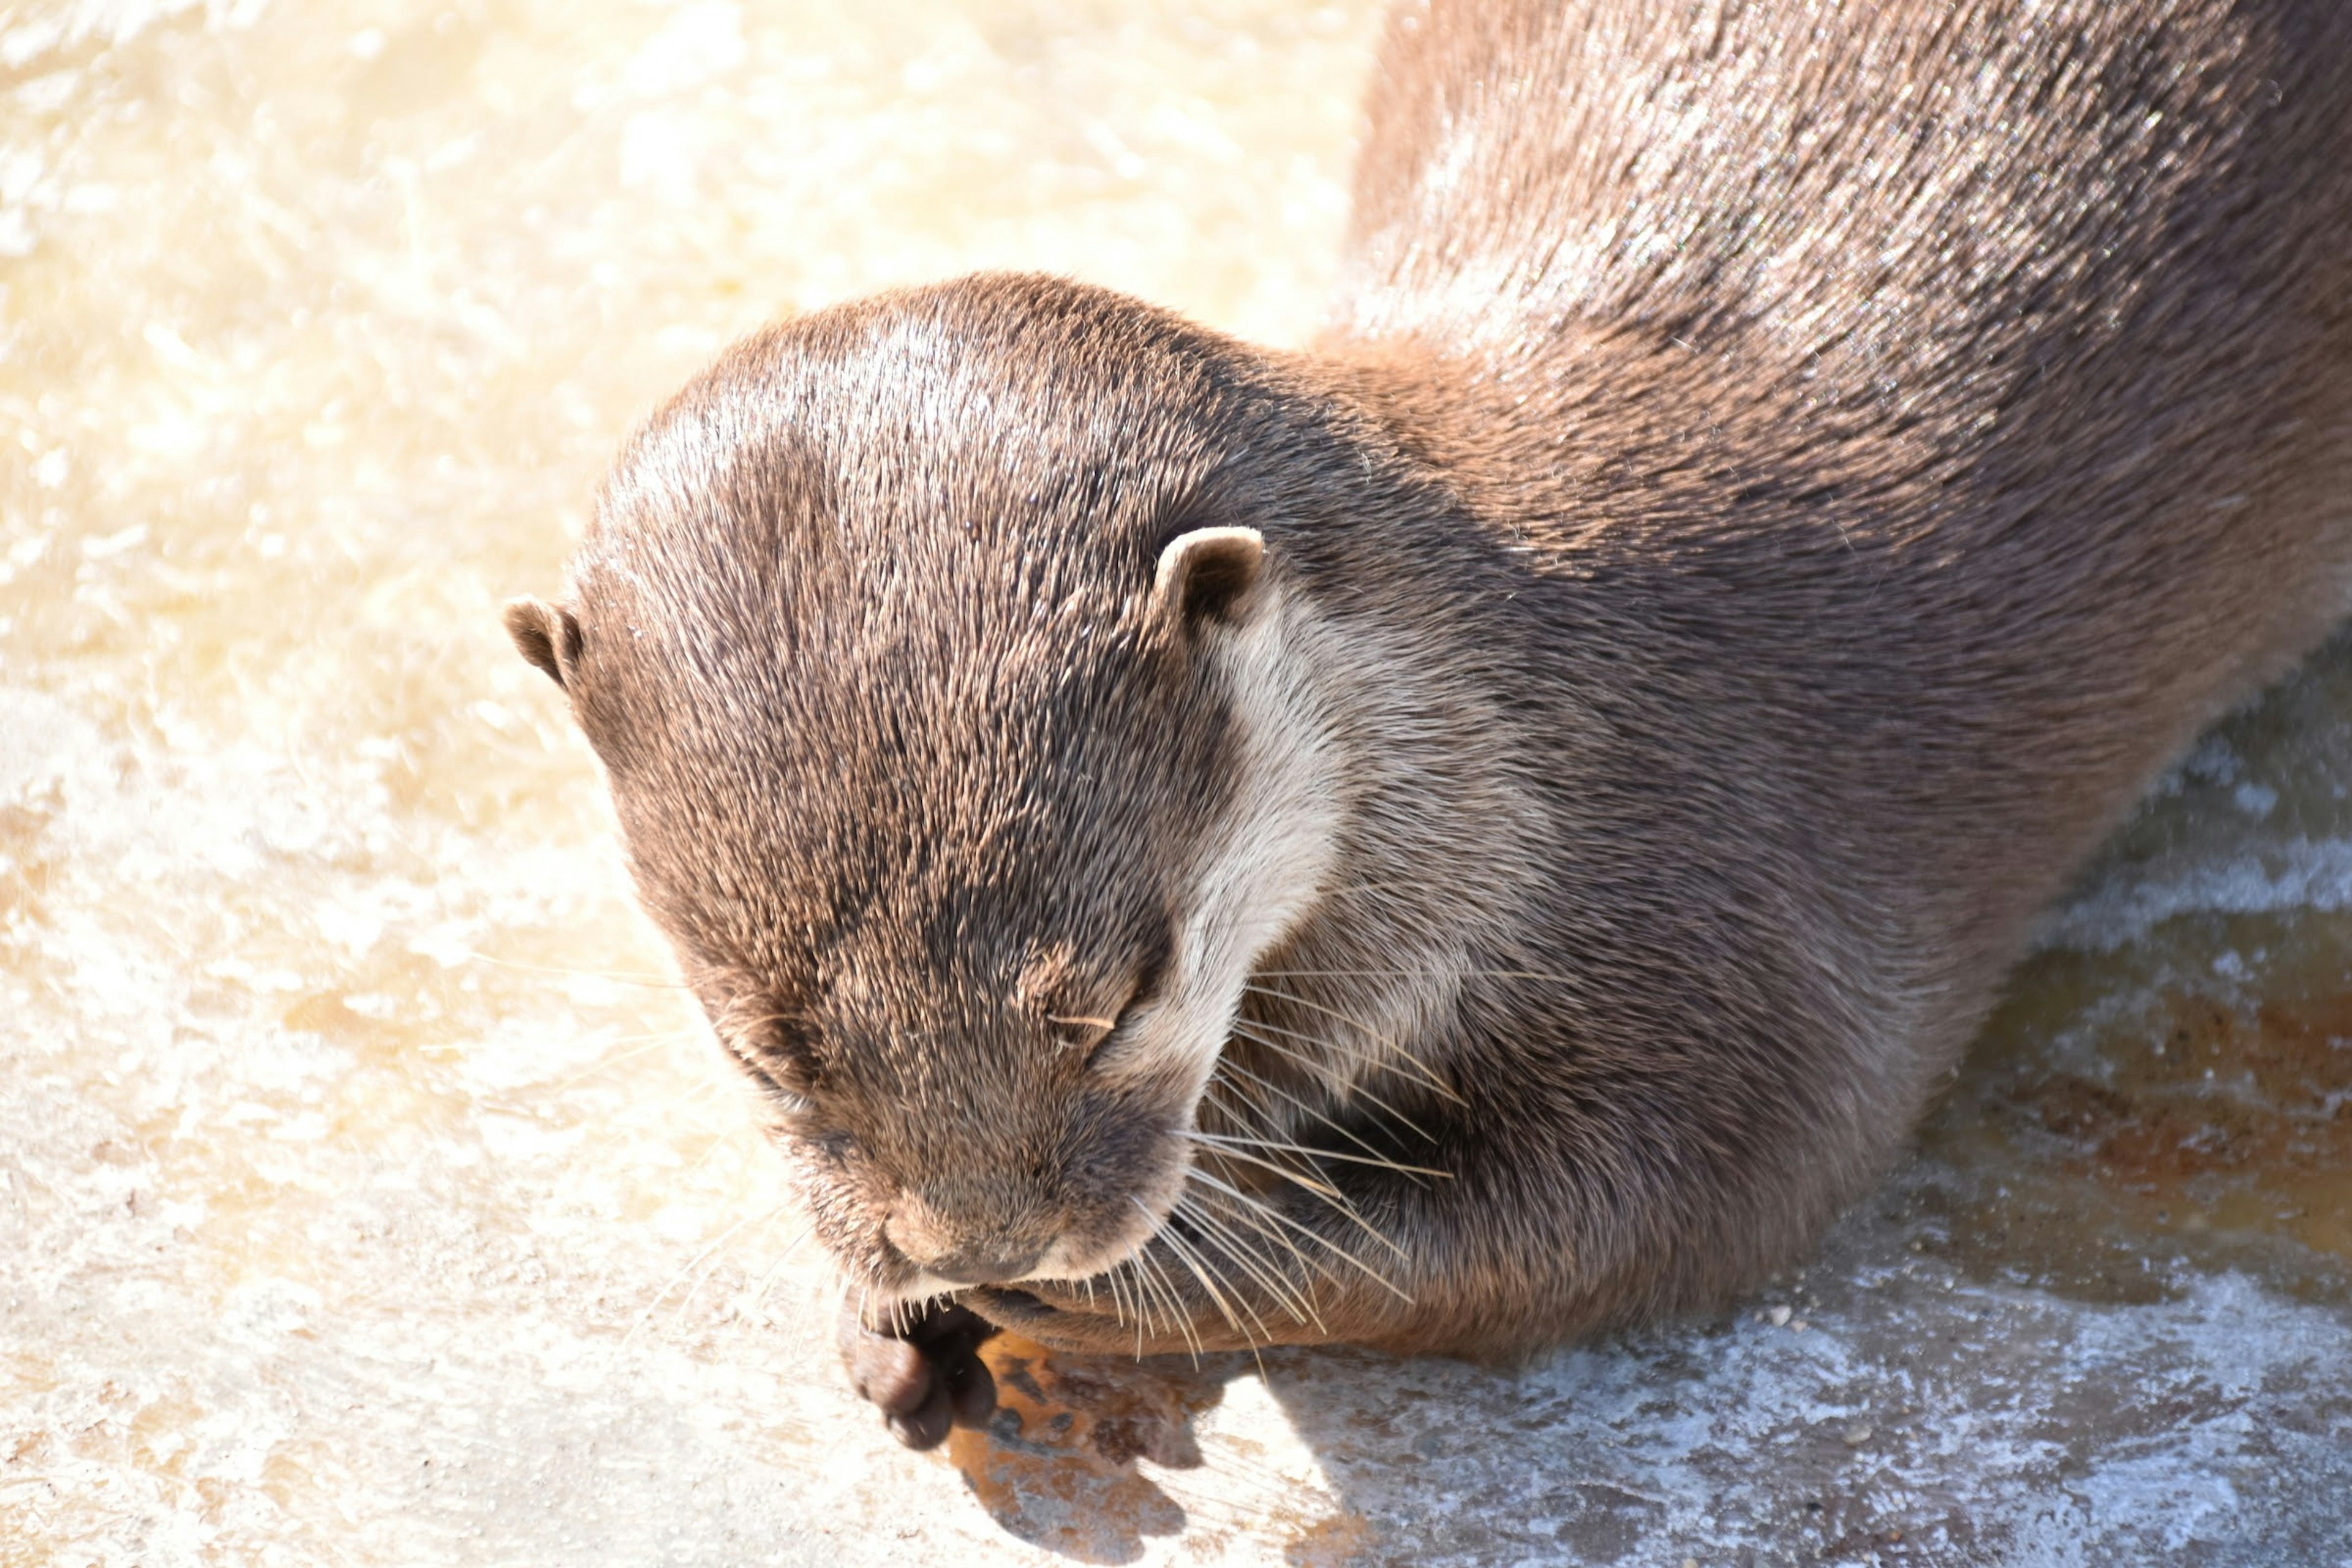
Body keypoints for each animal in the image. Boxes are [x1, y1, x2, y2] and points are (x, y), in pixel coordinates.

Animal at [510, 0, 2352, 1448]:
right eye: (762, 1051)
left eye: (1121, 1001)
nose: (984, 1242)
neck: (1522, 755)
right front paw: (877, 1296)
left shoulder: (1734, 914)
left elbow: (1659, 1211)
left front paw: (1152, 1285)